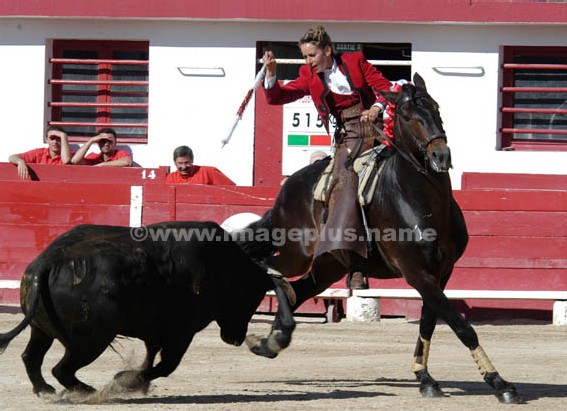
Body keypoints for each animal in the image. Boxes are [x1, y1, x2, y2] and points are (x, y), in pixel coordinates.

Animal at [0, 222, 292, 396]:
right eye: (252, 297)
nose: (236, 339)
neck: (222, 266)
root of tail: (47, 261)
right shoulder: (181, 332)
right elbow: (167, 365)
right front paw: (126, 380)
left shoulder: (156, 331)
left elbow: (152, 358)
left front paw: (136, 381)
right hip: (90, 341)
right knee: (62, 369)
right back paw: (87, 391)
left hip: (41, 329)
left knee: (31, 357)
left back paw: (44, 390)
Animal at [242, 74, 520, 406]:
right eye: (406, 116)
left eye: (436, 108)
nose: (441, 156)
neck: (423, 200)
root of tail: (287, 187)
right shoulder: (416, 273)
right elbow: (462, 326)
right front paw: (500, 383)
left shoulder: (441, 273)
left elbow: (429, 321)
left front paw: (425, 378)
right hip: (294, 252)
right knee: (269, 268)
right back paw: (271, 334)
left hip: (329, 266)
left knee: (296, 290)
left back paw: (272, 340)